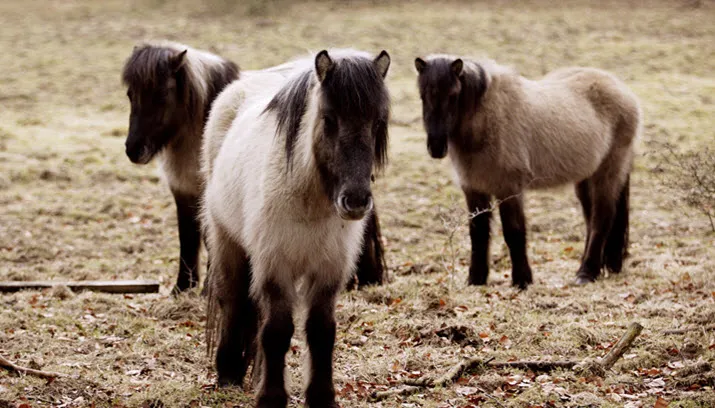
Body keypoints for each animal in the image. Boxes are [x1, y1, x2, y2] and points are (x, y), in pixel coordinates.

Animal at [121, 41, 239, 294]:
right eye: (130, 94)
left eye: (162, 94)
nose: (134, 149)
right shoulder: (183, 190)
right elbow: (187, 235)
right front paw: (183, 286)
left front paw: (207, 288)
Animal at [201, 49, 391, 407]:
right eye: (329, 119)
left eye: (377, 122)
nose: (356, 201)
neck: (309, 200)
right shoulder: (275, 266)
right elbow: (277, 330)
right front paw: (272, 397)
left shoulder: (329, 270)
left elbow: (321, 331)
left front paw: (321, 396)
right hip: (227, 242)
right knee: (232, 299)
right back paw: (228, 372)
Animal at [414, 55, 641, 288]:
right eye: (423, 96)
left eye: (453, 96)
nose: (436, 147)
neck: (488, 119)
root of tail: (620, 88)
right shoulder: (474, 189)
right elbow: (478, 232)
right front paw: (476, 279)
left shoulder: (509, 188)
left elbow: (513, 231)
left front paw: (522, 280)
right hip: (586, 177)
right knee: (591, 217)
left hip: (608, 172)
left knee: (601, 219)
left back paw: (586, 273)